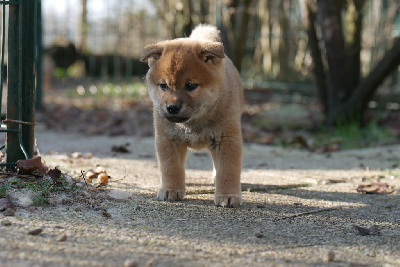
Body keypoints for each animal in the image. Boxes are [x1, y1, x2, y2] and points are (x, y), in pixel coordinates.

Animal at [141, 25, 244, 208]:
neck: (194, 123)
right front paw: (171, 190)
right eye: (163, 86)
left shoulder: (227, 139)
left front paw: (228, 195)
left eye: (190, 86)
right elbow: (171, 168)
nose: (172, 107)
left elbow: (227, 170)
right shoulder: (168, 139)